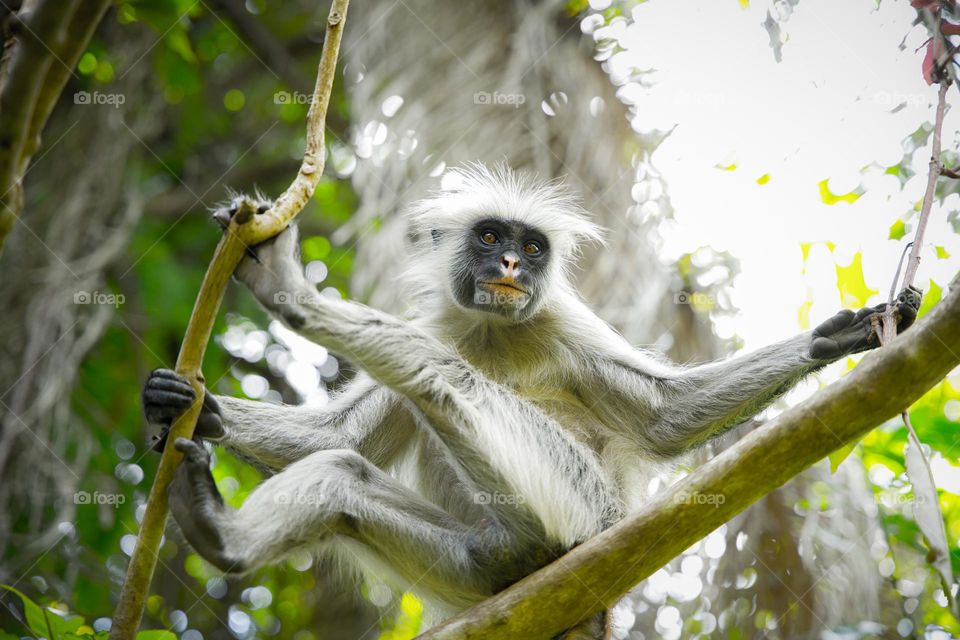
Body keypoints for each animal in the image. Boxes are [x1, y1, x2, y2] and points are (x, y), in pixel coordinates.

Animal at [143, 164, 921, 636]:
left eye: (533, 247)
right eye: (490, 237)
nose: (513, 264)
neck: (494, 330)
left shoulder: (561, 323)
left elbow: (664, 420)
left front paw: (837, 339)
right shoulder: (451, 320)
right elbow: (336, 439)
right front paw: (181, 403)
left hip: (581, 512)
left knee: (435, 376)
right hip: (471, 567)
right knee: (344, 474)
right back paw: (219, 531)